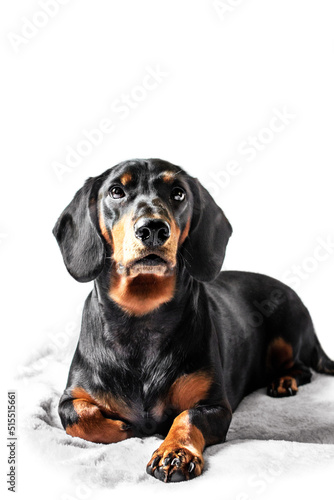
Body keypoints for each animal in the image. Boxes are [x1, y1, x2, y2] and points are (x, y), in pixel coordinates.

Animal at [52, 158, 334, 482]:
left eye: (178, 193)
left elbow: (187, 416)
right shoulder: (70, 397)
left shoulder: (216, 406)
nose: (153, 229)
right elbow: (78, 417)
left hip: (287, 334)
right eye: (116, 191)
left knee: (302, 367)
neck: (142, 315)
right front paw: (126, 426)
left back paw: (284, 381)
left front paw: (174, 452)